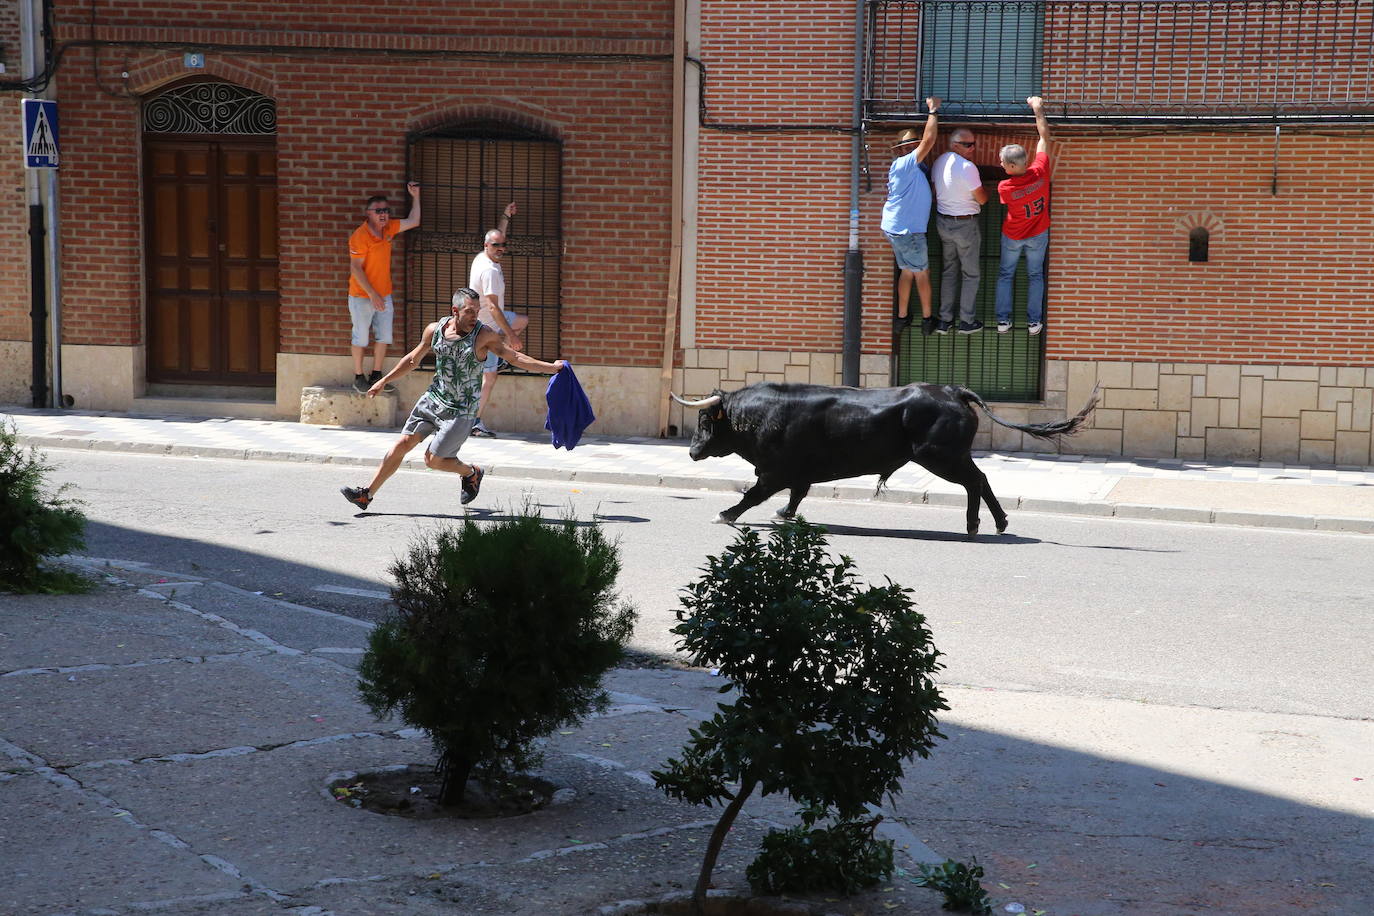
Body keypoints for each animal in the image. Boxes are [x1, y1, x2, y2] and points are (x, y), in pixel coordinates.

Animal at [670, 381, 1099, 538]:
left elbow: (753, 494)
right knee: (982, 479)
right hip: (951, 455)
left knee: (975, 481)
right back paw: (998, 522)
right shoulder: (798, 473)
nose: (691, 452)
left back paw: (974, 525)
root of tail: (953, 390)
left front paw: (724, 515)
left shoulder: (776, 471)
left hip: (939, 457)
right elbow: (795, 495)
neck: (763, 414)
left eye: (705, 420)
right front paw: (784, 515)